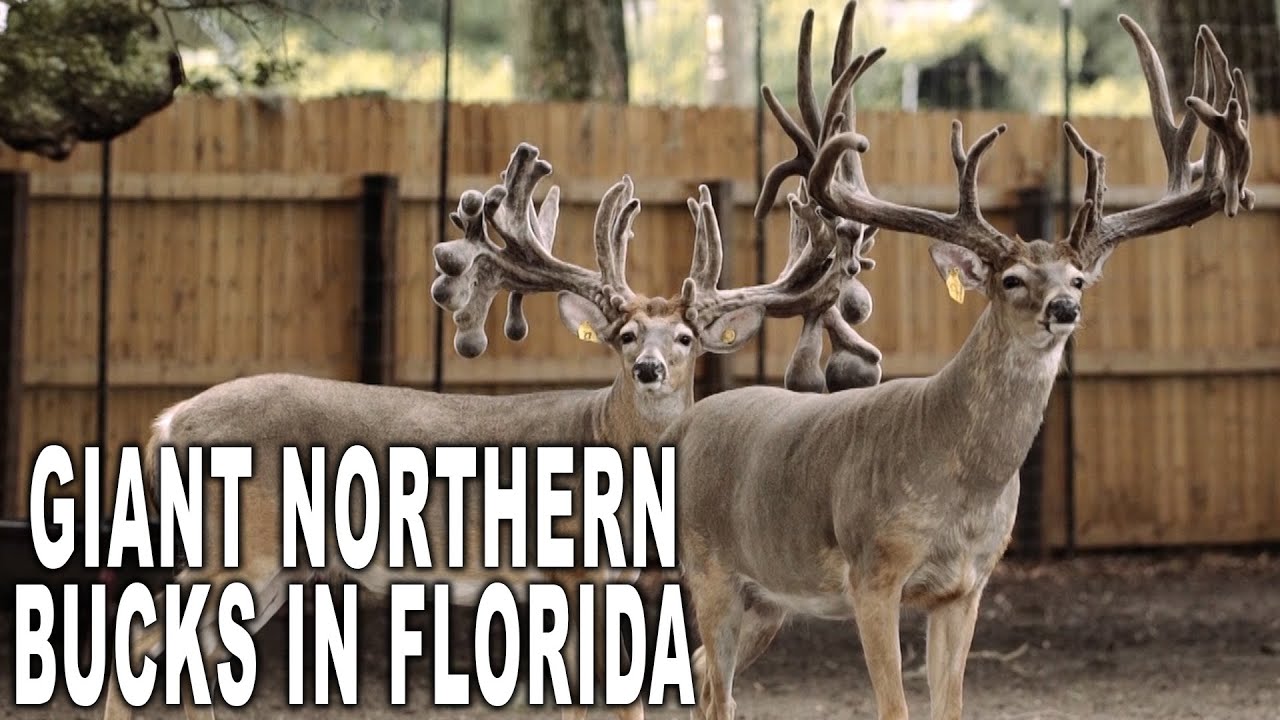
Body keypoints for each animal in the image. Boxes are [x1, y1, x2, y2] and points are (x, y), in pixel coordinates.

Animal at [100, 140, 882, 720]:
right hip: (238, 550)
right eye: (626, 334)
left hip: (266, 570)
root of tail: (166, 423)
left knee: (189, 652)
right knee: (138, 637)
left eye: (688, 337)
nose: (652, 368)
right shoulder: (567, 571)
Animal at [667, 5, 1253, 720]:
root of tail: (689, 420)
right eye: (1012, 280)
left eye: (1078, 279)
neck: (961, 483)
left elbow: (950, 704)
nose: (1064, 308)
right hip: (710, 569)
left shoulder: (966, 587)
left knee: (703, 671)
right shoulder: (873, 572)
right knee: (714, 680)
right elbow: (893, 707)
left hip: (769, 597)